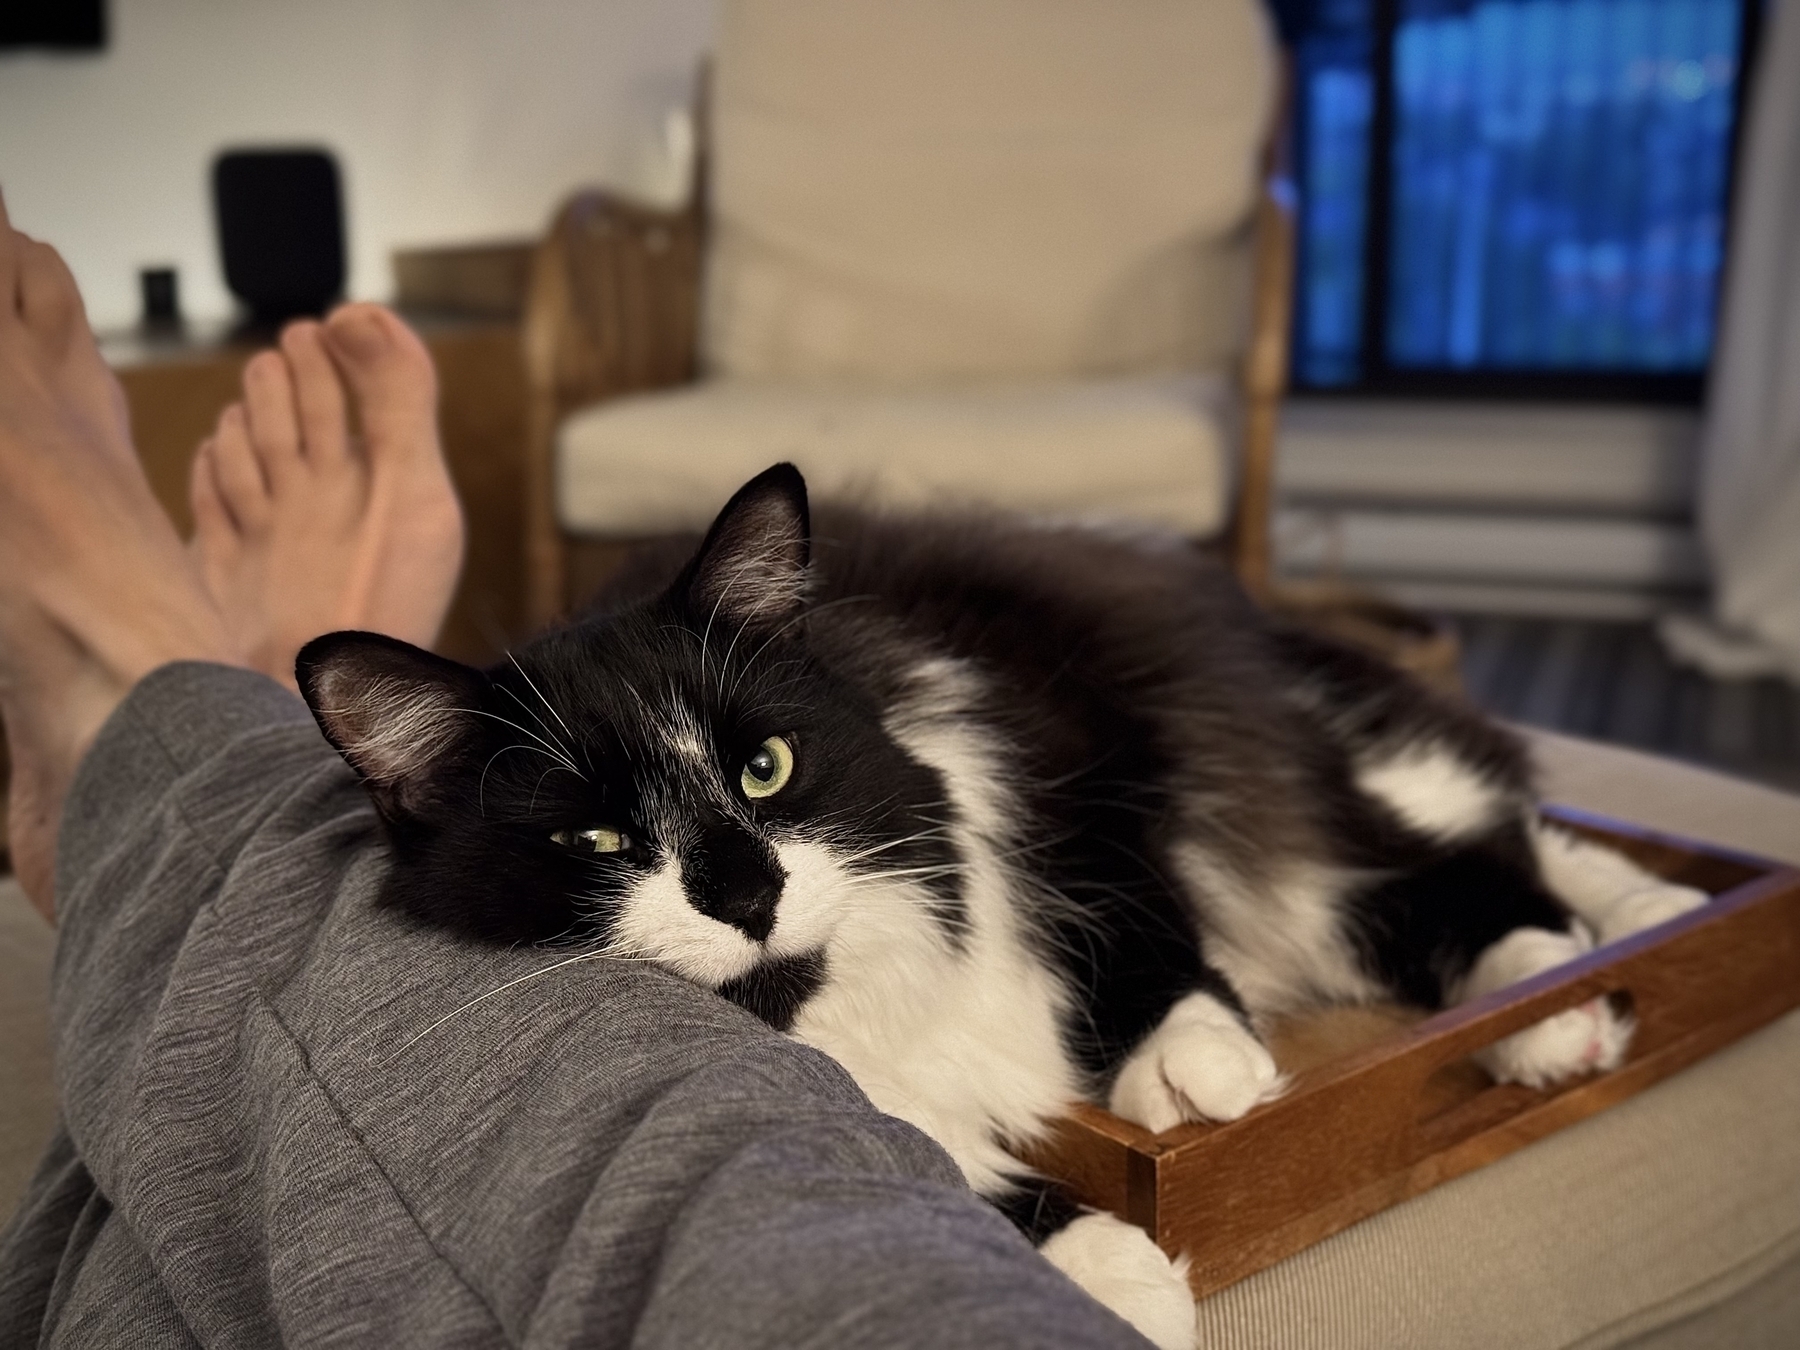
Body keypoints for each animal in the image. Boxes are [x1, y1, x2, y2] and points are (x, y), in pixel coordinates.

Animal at [295, 468, 1699, 1350]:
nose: (748, 891)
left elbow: (1145, 943)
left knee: (1478, 856)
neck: (847, 1003)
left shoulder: (1081, 779)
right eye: (594, 841)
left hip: (1273, 784)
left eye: (766, 770)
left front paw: (1194, 1073)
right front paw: (1117, 1273)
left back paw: (1578, 985)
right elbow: (944, 1165)